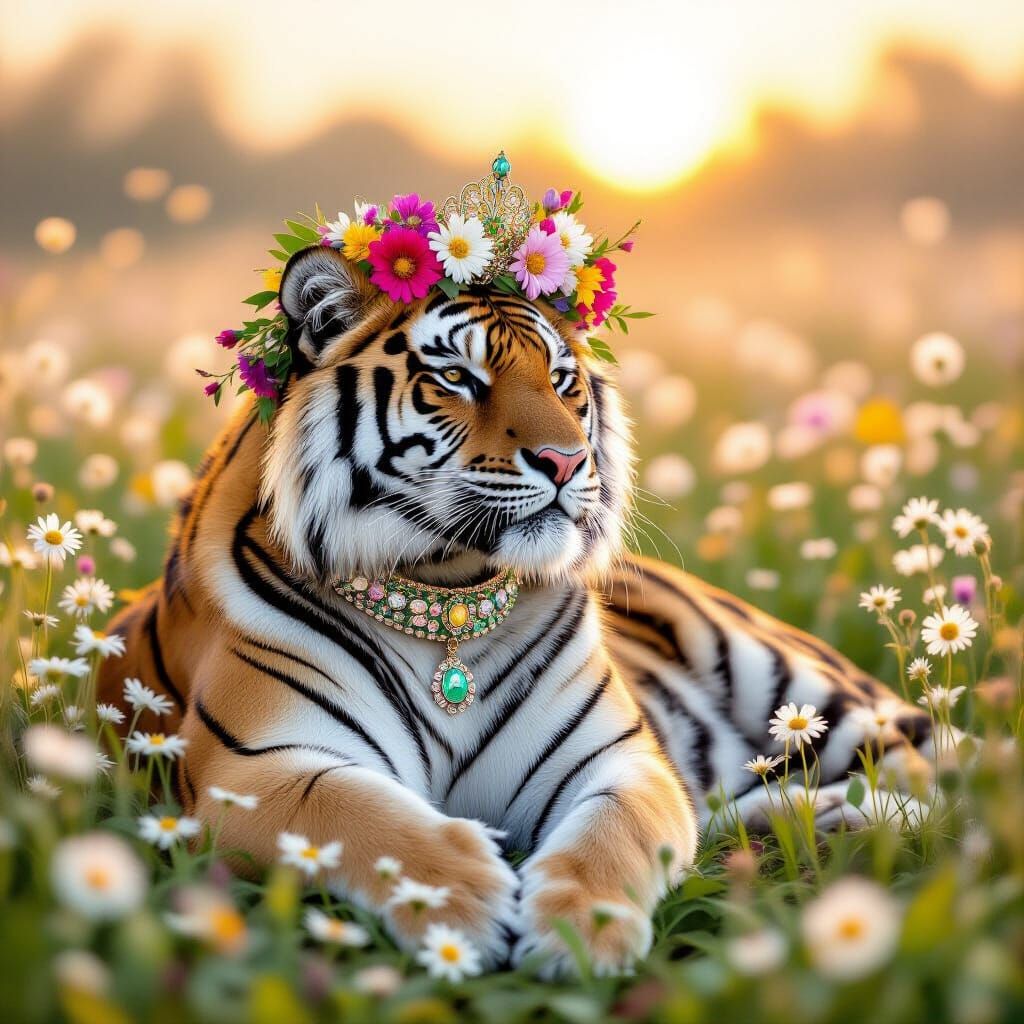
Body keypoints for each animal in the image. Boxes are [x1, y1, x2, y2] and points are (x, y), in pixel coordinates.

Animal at [98, 244, 935, 976]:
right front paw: (459, 902)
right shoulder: (256, 768)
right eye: (457, 377)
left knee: (931, 765)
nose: (568, 462)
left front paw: (579, 934)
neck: (446, 592)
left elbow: (614, 835)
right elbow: (361, 816)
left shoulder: (617, 759)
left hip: (789, 681)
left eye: (562, 379)